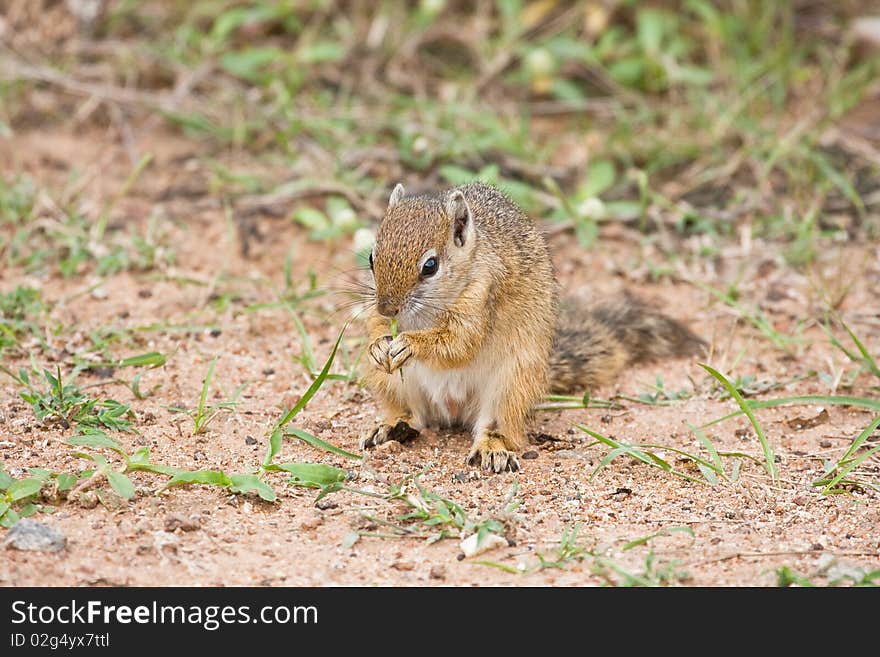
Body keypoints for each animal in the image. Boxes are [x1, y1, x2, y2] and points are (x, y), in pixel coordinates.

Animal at [356, 182, 700, 472]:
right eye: (372, 257)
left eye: (430, 266)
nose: (388, 308)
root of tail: (452, 411)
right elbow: (374, 323)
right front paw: (378, 344)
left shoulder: (483, 296)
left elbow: (459, 343)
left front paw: (410, 344)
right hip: (393, 384)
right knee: (414, 415)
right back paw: (393, 426)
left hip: (511, 384)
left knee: (499, 427)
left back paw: (491, 448)